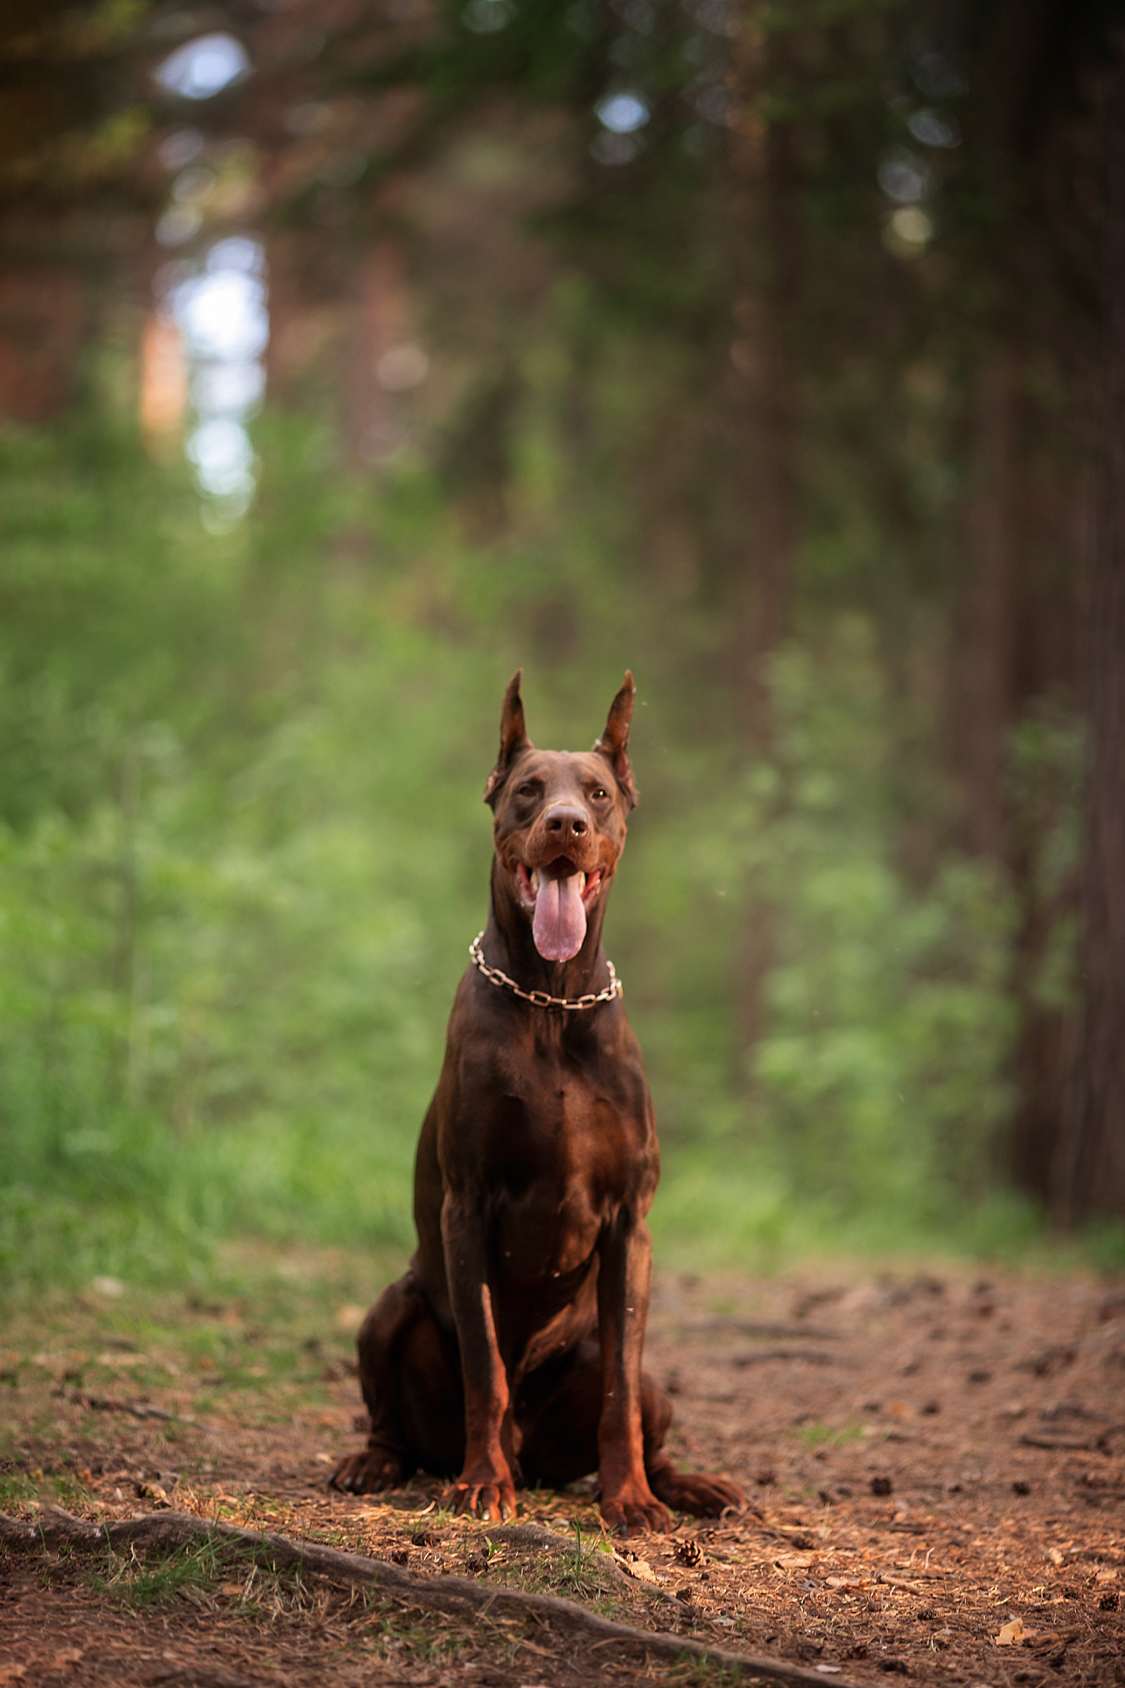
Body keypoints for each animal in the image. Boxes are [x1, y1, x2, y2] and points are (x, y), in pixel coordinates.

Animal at [329, 671, 739, 1532]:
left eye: (596, 792)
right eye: (526, 790)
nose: (565, 823)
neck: (551, 1003)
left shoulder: (629, 1224)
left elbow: (619, 1386)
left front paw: (628, 1499)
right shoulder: (468, 1206)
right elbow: (486, 1367)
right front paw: (482, 1484)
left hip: (646, 1382)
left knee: (641, 1400)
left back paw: (683, 1484)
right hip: (392, 1305)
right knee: (393, 1414)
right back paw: (382, 1462)